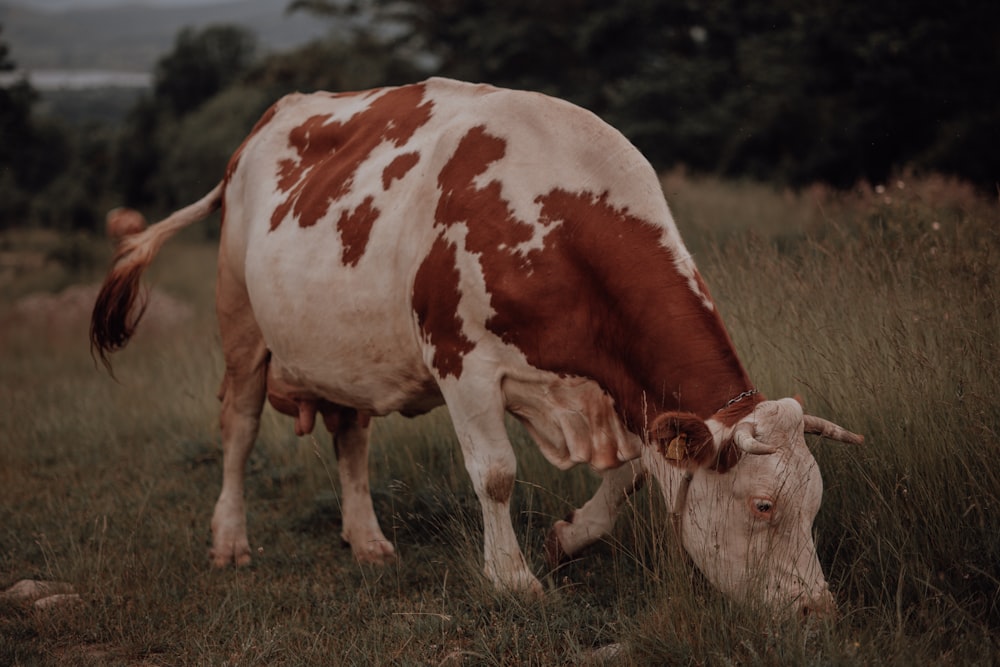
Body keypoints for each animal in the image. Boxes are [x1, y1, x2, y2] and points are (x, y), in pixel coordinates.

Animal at [90, 78, 864, 620]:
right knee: (239, 429)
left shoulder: (621, 393)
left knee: (350, 436)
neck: (554, 213)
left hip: (348, 348)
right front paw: (514, 578)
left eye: (816, 505)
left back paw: (367, 541)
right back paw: (230, 541)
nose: (817, 611)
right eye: (762, 506)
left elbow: (633, 477)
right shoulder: (461, 360)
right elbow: (495, 473)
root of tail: (267, 122)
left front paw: (568, 537)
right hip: (242, 319)